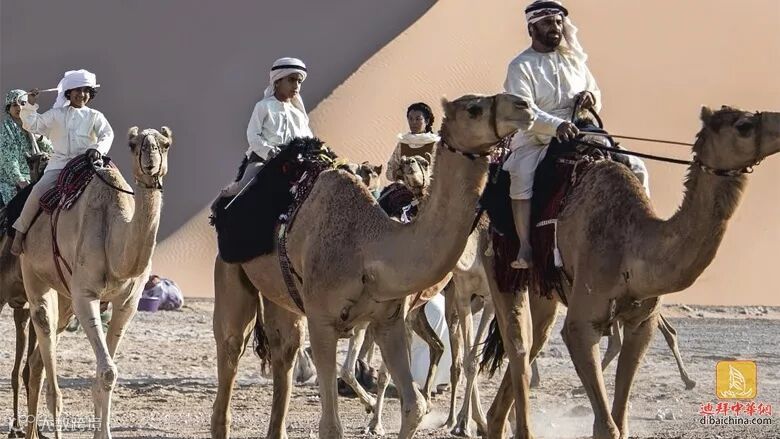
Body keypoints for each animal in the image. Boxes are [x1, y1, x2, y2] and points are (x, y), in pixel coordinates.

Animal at [19, 126, 172, 439]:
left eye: (165, 144)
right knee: (43, 329)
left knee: (37, 361)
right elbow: (108, 371)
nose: (150, 159)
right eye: (133, 144)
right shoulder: (85, 295)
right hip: (33, 273)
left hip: (65, 299)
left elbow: (108, 373)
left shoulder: (127, 303)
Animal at [211, 92, 534, 439]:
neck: (370, 246)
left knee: (285, 349)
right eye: (474, 109)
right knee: (231, 347)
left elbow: (414, 406)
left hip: (282, 295)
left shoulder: (388, 321)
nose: (523, 106)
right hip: (231, 272)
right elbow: (331, 426)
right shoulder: (323, 320)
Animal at [484, 106, 780, 439]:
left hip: (544, 290)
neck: (631, 245)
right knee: (519, 346)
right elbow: (607, 427)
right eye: (744, 125)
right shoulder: (583, 322)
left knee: (535, 340)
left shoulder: (642, 322)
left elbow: (621, 420)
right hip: (500, 267)